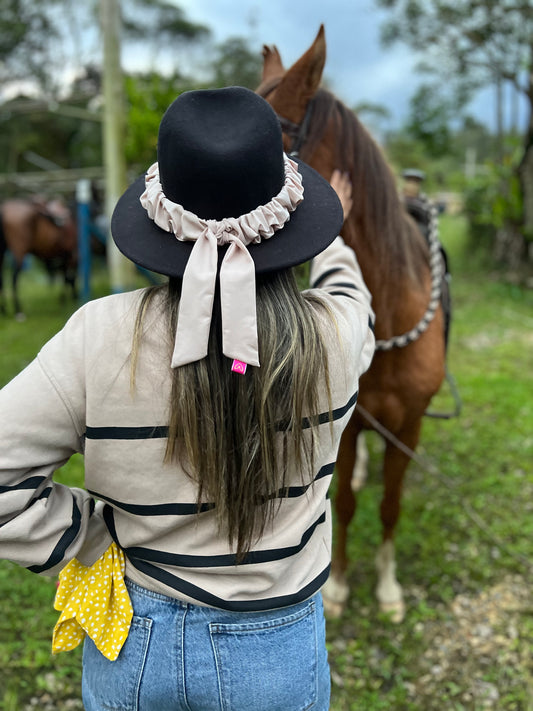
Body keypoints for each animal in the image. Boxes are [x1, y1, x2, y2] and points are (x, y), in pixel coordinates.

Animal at [256, 25, 446, 620]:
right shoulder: (348, 422)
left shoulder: (406, 427)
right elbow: (345, 500)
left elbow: (389, 504)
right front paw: (338, 585)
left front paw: (387, 588)